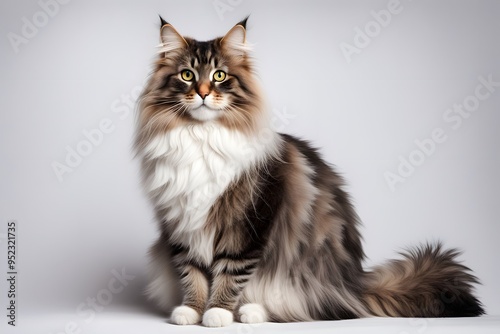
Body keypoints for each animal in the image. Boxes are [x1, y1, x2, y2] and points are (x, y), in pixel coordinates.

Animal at [134, 17, 484, 328]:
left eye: (220, 75)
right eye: (187, 75)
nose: (204, 92)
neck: (201, 137)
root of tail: (354, 284)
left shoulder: (247, 226)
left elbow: (230, 273)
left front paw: (217, 313)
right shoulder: (180, 226)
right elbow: (191, 273)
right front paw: (191, 311)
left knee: (310, 308)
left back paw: (250, 312)